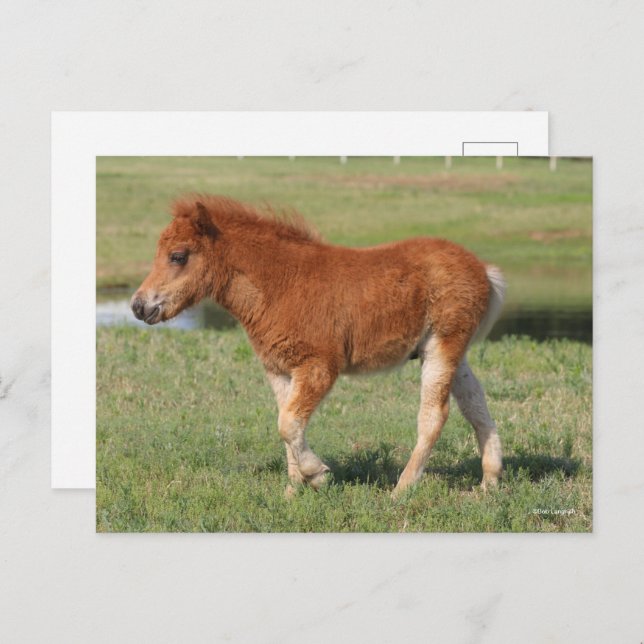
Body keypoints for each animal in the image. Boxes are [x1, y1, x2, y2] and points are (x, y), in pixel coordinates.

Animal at [131, 195, 505, 497]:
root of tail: (482, 269)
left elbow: (287, 423)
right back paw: (489, 482)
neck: (282, 285)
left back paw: (402, 489)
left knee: (434, 415)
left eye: (178, 256)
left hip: (443, 345)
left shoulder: (320, 366)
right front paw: (294, 489)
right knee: (476, 405)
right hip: (449, 351)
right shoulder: (279, 370)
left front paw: (317, 474)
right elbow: (287, 423)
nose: (138, 306)